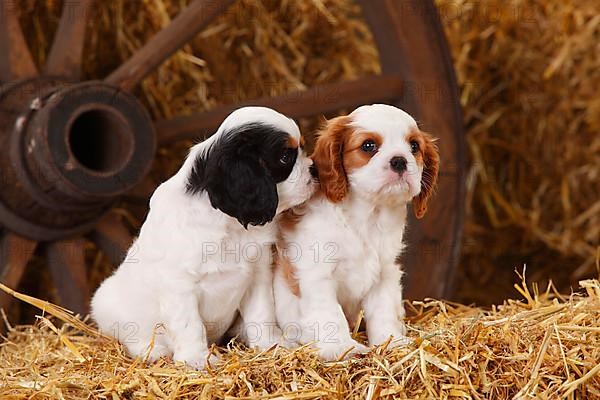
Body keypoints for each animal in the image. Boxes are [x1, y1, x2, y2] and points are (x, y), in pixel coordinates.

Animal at [91, 105, 314, 368]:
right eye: (285, 157)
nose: (315, 169)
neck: (229, 225)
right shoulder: (180, 286)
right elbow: (190, 325)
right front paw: (196, 360)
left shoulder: (257, 274)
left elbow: (262, 313)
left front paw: (271, 344)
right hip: (106, 303)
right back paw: (152, 352)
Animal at [274, 103, 438, 360]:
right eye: (368, 146)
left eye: (414, 146)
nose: (400, 160)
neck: (367, 214)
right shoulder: (317, 275)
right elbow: (331, 315)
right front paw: (342, 348)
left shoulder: (384, 275)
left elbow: (383, 312)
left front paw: (392, 342)